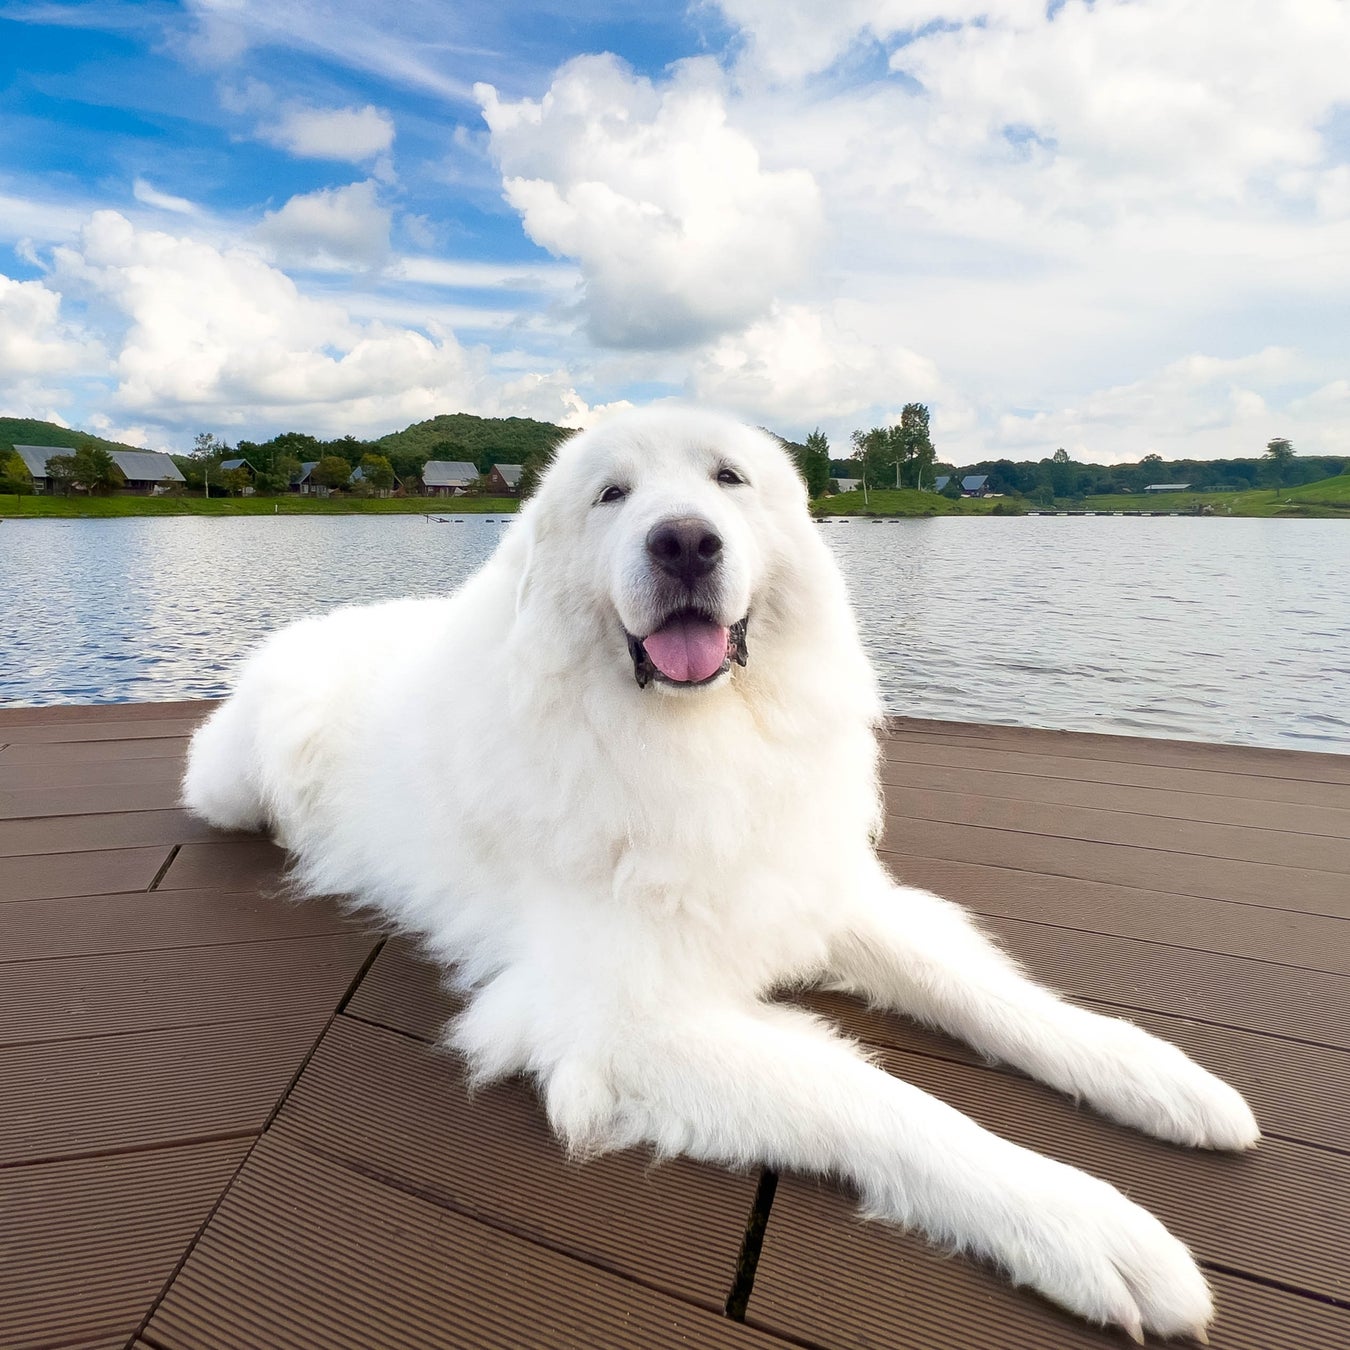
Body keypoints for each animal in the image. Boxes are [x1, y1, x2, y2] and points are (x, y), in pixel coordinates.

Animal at [184, 405, 1258, 1344]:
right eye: (611, 493)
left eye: (729, 480)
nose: (685, 543)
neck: (696, 738)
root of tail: (319, 621)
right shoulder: (615, 1023)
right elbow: (879, 1101)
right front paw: (1083, 1223)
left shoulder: (807, 890)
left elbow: (990, 996)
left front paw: (1151, 1073)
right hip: (231, 784)